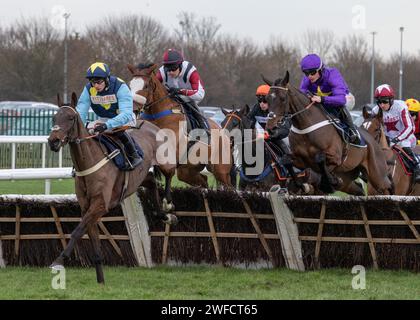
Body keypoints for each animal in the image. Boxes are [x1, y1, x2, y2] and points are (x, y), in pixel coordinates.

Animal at [48, 92, 177, 282]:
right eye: (54, 118)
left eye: (71, 118)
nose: (53, 141)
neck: (89, 162)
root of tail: (149, 124)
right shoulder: (87, 207)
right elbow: (91, 238)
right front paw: (100, 280)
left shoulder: (101, 205)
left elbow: (77, 231)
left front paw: (58, 260)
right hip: (139, 177)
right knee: (152, 181)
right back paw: (164, 215)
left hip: (165, 161)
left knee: (169, 173)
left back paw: (168, 204)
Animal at [126, 63, 235, 191]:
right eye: (130, 85)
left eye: (146, 86)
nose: (133, 109)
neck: (157, 115)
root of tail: (225, 136)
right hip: (188, 170)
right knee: (203, 181)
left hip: (221, 171)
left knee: (228, 186)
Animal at [264, 70, 392, 195]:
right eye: (267, 99)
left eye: (282, 98)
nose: (271, 128)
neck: (305, 127)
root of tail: (373, 140)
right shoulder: (301, 161)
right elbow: (286, 160)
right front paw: (303, 185)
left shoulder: (335, 157)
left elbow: (320, 159)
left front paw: (329, 182)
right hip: (349, 177)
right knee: (360, 189)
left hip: (377, 175)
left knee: (387, 188)